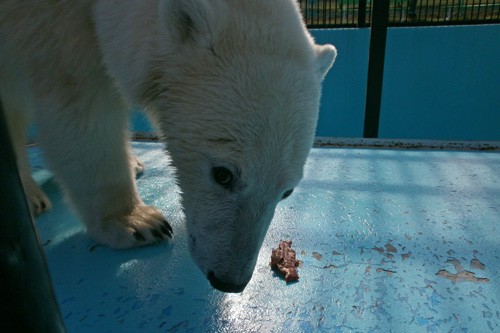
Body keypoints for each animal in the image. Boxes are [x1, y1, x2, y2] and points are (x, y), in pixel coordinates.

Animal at [0, 0, 336, 290]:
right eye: (223, 174)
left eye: (287, 191)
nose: (229, 281)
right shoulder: (54, 23)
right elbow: (81, 102)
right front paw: (136, 222)